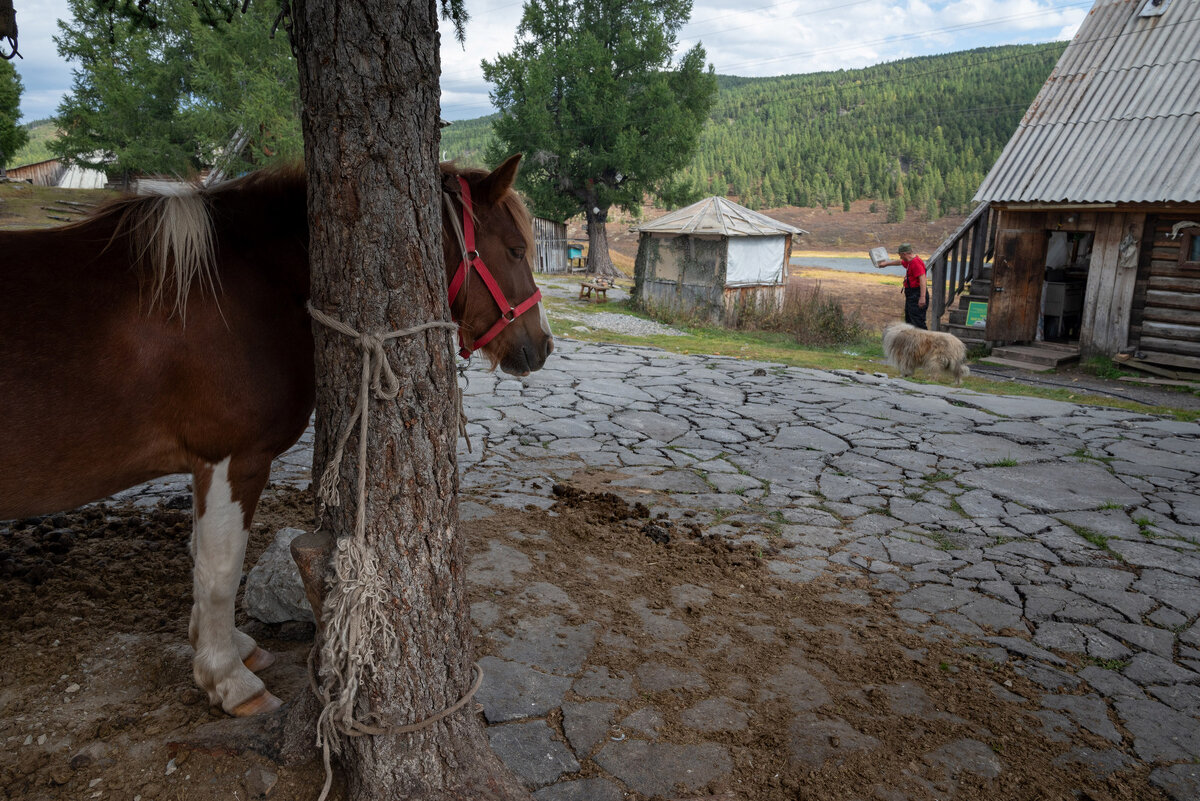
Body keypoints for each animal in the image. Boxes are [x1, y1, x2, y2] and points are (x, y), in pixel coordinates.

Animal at [0, 153, 552, 714]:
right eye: (515, 249)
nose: (543, 344)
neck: (245, 285)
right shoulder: (232, 459)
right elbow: (220, 570)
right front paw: (227, 679)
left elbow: (201, 556)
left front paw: (228, 648)